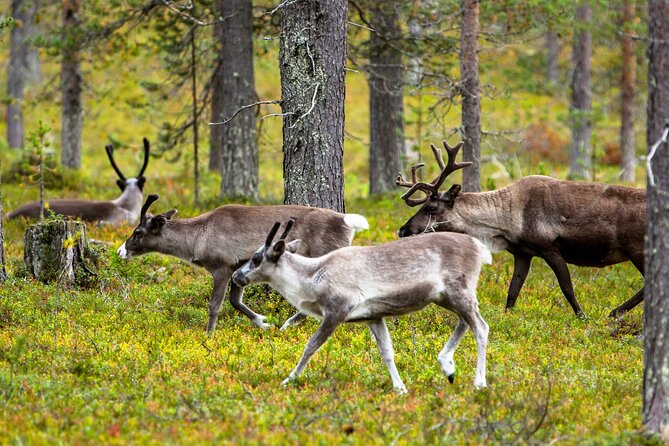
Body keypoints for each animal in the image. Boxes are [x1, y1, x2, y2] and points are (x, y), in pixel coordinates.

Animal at [117, 195, 368, 334]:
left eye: (138, 232)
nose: (121, 251)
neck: (197, 238)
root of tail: (347, 221)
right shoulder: (237, 267)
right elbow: (235, 301)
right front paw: (264, 323)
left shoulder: (221, 267)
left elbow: (215, 305)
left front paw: (208, 336)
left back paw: (289, 323)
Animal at [231, 218, 490, 392]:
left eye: (256, 258)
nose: (236, 276)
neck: (312, 278)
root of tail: (481, 247)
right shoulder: (373, 317)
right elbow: (387, 352)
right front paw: (400, 388)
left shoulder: (336, 310)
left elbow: (311, 345)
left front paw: (288, 379)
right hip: (446, 296)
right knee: (464, 322)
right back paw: (447, 366)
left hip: (459, 290)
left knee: (481, 327)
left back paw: (479, 382)